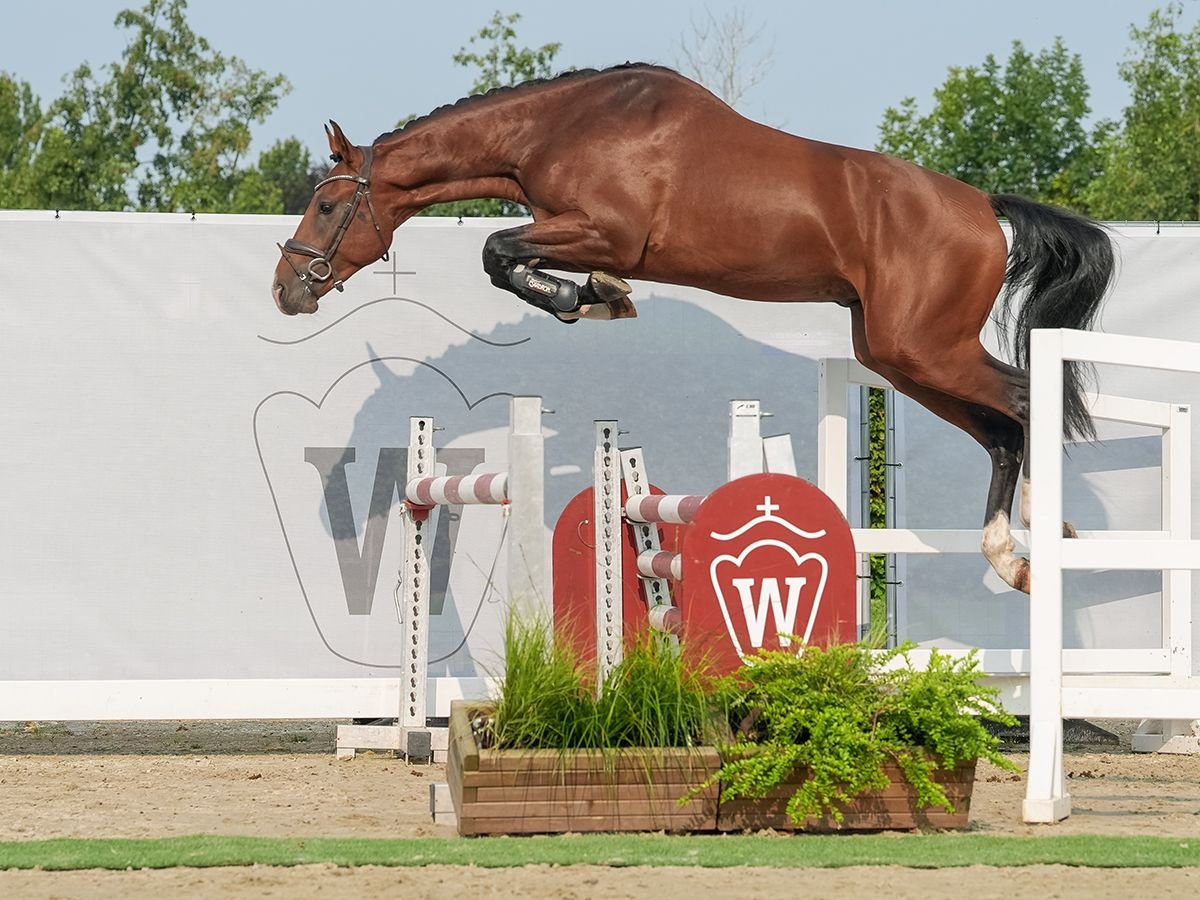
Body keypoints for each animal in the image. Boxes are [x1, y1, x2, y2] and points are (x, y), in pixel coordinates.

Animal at [272, 65, 1113, 600]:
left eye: (325, 206)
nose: (286, 289)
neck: (559, 128)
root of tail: (982, 207)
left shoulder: (604, 231)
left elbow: (498, 252)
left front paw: (591, 298)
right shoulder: (576, 230)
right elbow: (505, 256)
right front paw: (592, 297)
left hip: (927, 348)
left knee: (1024, 403)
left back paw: (1045, 530)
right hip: (897, 357)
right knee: (1000, 431)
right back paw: (1008, 557)